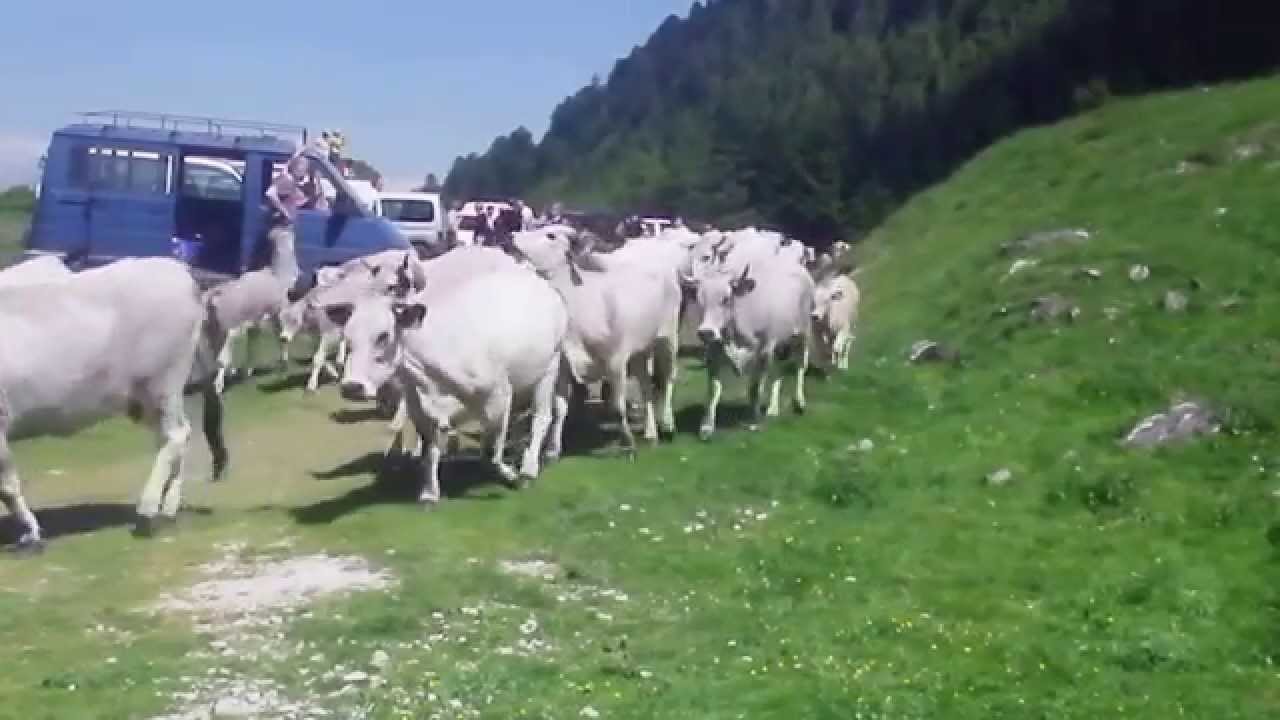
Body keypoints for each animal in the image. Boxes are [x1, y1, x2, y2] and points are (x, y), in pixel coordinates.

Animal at [0, 257, 228, 549]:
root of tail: (175, 268)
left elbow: (7, 487)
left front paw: (31, 532)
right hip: (145, 398)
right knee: (173, 437)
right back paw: (168, 508)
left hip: (162, 382)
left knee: (176, 435)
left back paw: (148, 511)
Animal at [325, 267, 569, 505]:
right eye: (347, 337)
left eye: (383, 336)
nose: (352, 387)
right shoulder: (421, 412)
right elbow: (430, 452)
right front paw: (430, 493)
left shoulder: (498, 397)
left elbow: (490, 452)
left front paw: (511, 474)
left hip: (550, 367)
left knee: (543, 417)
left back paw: (529, 468)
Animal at [512, 228, 681, 452]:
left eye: (551, 235)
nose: (512, 235)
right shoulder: (564, 364)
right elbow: (560, 408)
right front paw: (553, 449)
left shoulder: (616, 361)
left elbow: (618, 406)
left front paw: (628, 442)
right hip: (639, 352)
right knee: (646, 388)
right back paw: (651, 432)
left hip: (668, 339)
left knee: (669, 378)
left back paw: (668, 424)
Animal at [695, 261, 814, 440]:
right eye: (699, 299)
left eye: (726, 299)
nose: (705, 332)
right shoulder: (713, 355)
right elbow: (713, 391)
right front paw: (707, 427)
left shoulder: (764, 351)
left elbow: (755, 390)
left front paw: (755, 422)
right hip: (780, 343)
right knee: (779, 370)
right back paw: (773, 408)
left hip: (803, 332)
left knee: (801, 365)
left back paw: (800, 401)